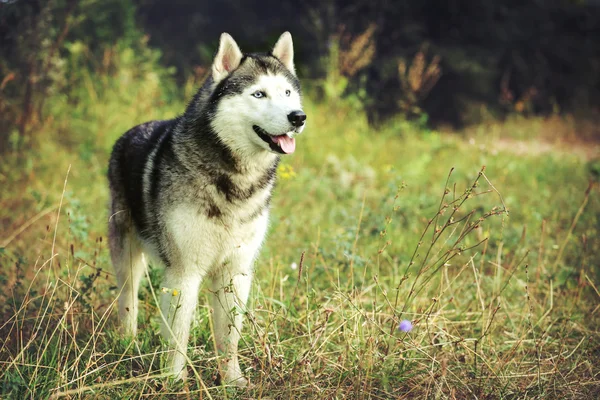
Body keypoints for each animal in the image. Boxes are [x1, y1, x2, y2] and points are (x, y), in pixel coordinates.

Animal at [106, 32, 304, 386]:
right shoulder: (184, 273)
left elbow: (229, 337)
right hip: (128, 259)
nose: (298, 117)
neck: (236, 182)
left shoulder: (235, 273)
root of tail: (130, 132)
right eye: (259, 94)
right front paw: (174, 381)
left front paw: (232, 381)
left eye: (287, 92)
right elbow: (178, 336)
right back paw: (127, 344)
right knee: (128, 300)